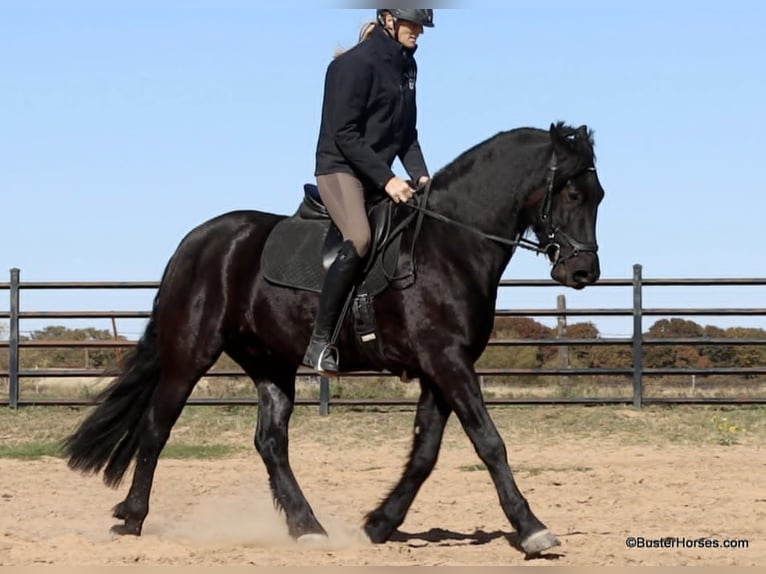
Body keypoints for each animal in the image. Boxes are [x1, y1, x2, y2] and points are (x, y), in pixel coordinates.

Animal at [66, 121, 608, 560]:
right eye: (574, 196)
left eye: (599, 195)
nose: (584, 271)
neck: (450, 246)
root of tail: (197, 241)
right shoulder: (448, 363)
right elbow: (489, 442)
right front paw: (533, 530)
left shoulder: (440, 368)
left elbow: (425, 453)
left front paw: (379, 524)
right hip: (189, 356)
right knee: (157, 427)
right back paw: (132, 518)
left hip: (271, 363)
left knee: (270, 442)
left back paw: (308, 527)